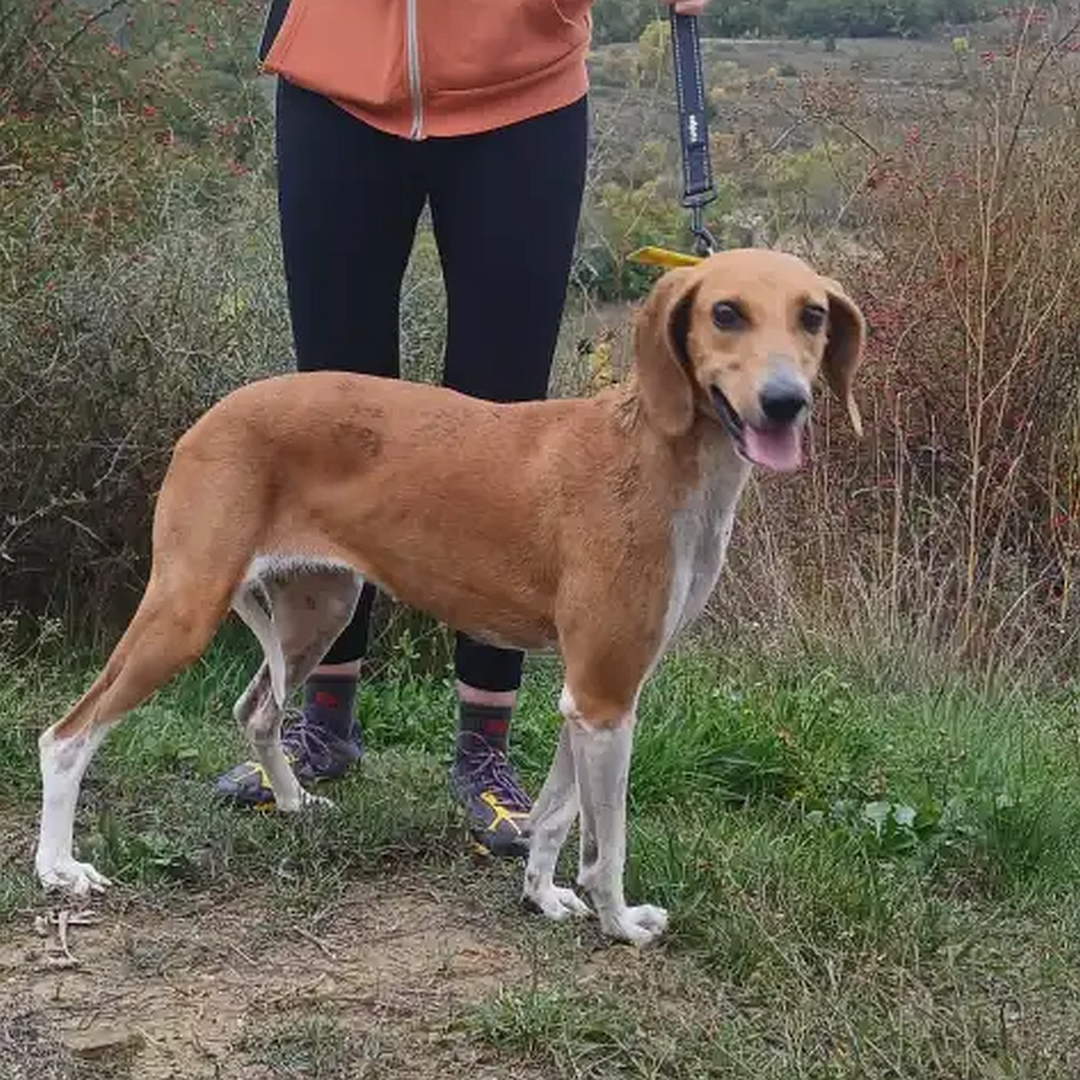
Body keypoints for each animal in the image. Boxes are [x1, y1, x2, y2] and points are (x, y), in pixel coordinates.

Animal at [31, 247, 868, 946]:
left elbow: (555, 815)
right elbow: (608, 842)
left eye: (812, 316)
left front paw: (543, 897)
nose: (785, 401)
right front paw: (621, 924)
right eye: (726, 312)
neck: (655, 451)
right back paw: (58, 868)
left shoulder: (587, 697)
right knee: (67, 735)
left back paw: (295, 804)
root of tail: (210, 417)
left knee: (259, 711)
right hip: (184, 612)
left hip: (321, 612)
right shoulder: (606, 696)